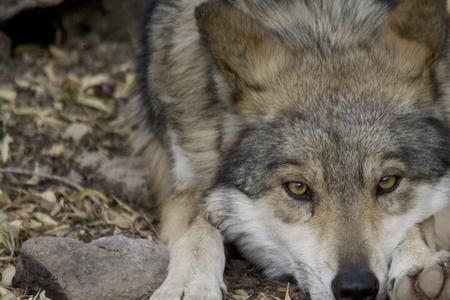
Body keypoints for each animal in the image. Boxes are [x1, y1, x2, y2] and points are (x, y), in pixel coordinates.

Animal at [126, 0, 450, 298]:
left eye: (388, 182)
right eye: (297, 188)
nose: (356, 288)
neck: (321, 28)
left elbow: (417, 223)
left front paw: (420, 264)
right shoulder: (186, 182)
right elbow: (198, 228)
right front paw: (189, 283)